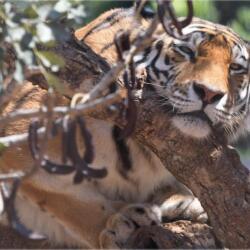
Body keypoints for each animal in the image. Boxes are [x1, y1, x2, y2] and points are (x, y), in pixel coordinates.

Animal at [0, 5, 249, 248]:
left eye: (235, 67)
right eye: (187, 51)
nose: (209, 93)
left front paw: (180, 202)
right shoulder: (19, 140)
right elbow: (65, 198)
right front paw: (118, 223)